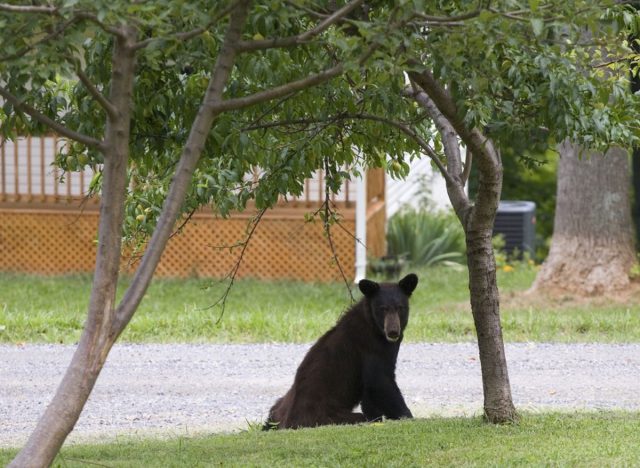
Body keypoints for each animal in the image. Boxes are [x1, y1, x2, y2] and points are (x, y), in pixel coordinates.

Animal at [264, 272, 418, 430]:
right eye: (383, 308)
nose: (393, 331)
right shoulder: (371, 347)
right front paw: (407, 416)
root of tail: (288, 422)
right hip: (327, 414)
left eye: (400, 307)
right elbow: (380, 381)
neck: (375, 327)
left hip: (280, 405)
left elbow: (370, 395)